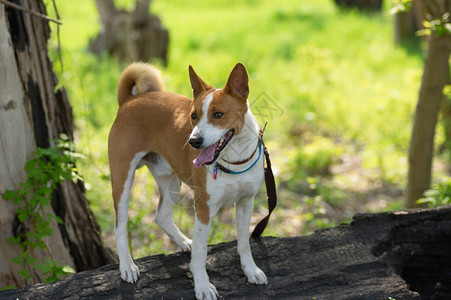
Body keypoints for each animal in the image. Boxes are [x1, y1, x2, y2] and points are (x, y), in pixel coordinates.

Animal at [108, 62, 268, 298]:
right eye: (193, 116)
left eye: (218, 114)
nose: (194, 141)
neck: (233, 160)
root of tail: (128, 100)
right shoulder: (203, 208)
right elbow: (201, 254)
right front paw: (202, 285)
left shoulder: (246, 202)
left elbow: (244, 243)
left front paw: (250, 270)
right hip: (123, 179)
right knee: (119, 227)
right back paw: (127, 266)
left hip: (171, 182)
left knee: (161, 216)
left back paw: (183, 241)